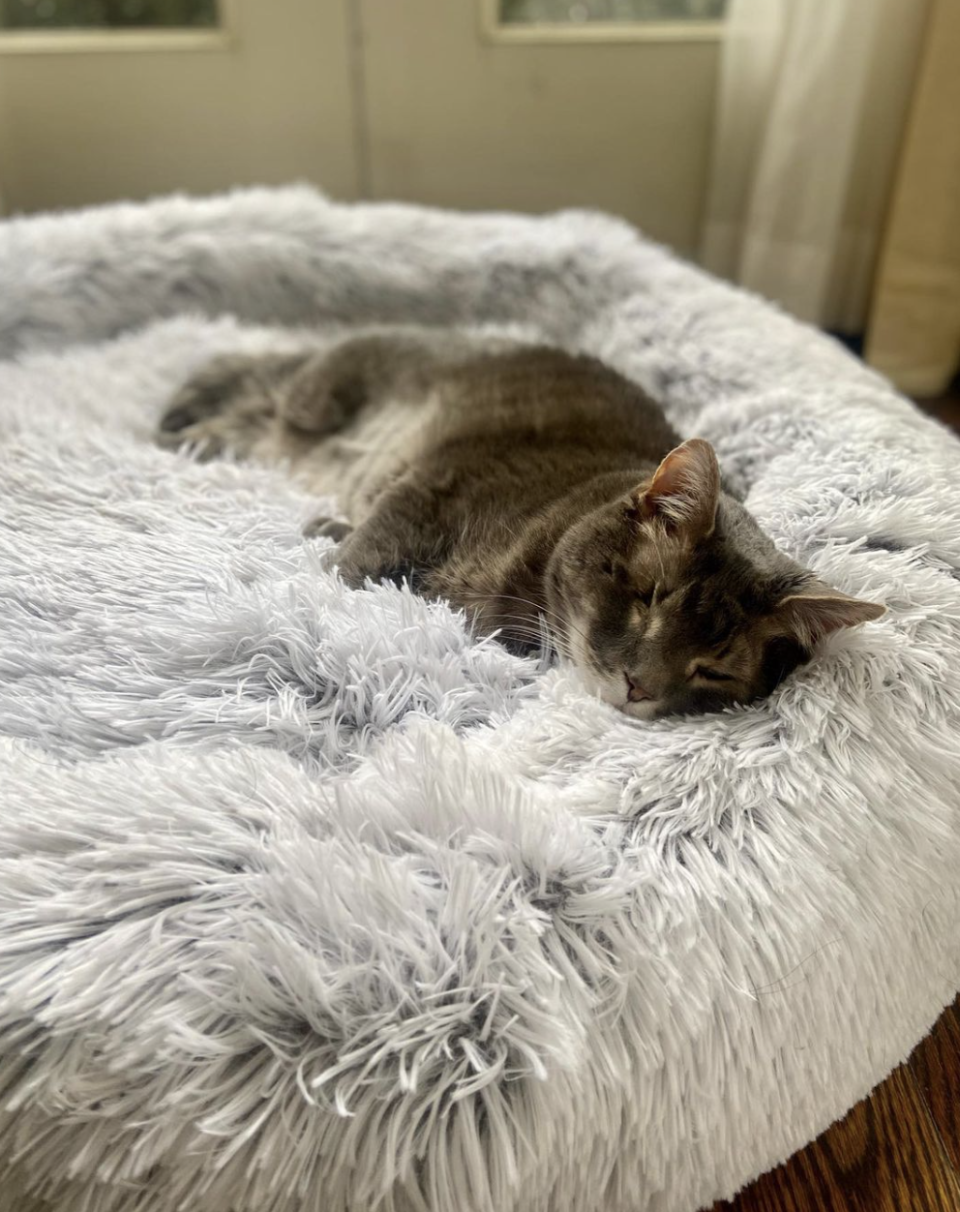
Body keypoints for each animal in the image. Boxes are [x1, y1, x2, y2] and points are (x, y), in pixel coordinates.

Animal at [157, 327, 887, 717]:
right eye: (647, 600)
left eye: (715, 671)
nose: (639, 687)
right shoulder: (433, 486)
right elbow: (355, 562)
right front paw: (321, 565)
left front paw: (324, 533)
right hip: (315, 397)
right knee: (254, 379)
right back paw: (180, 418)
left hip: (287, 431)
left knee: (252, 414)